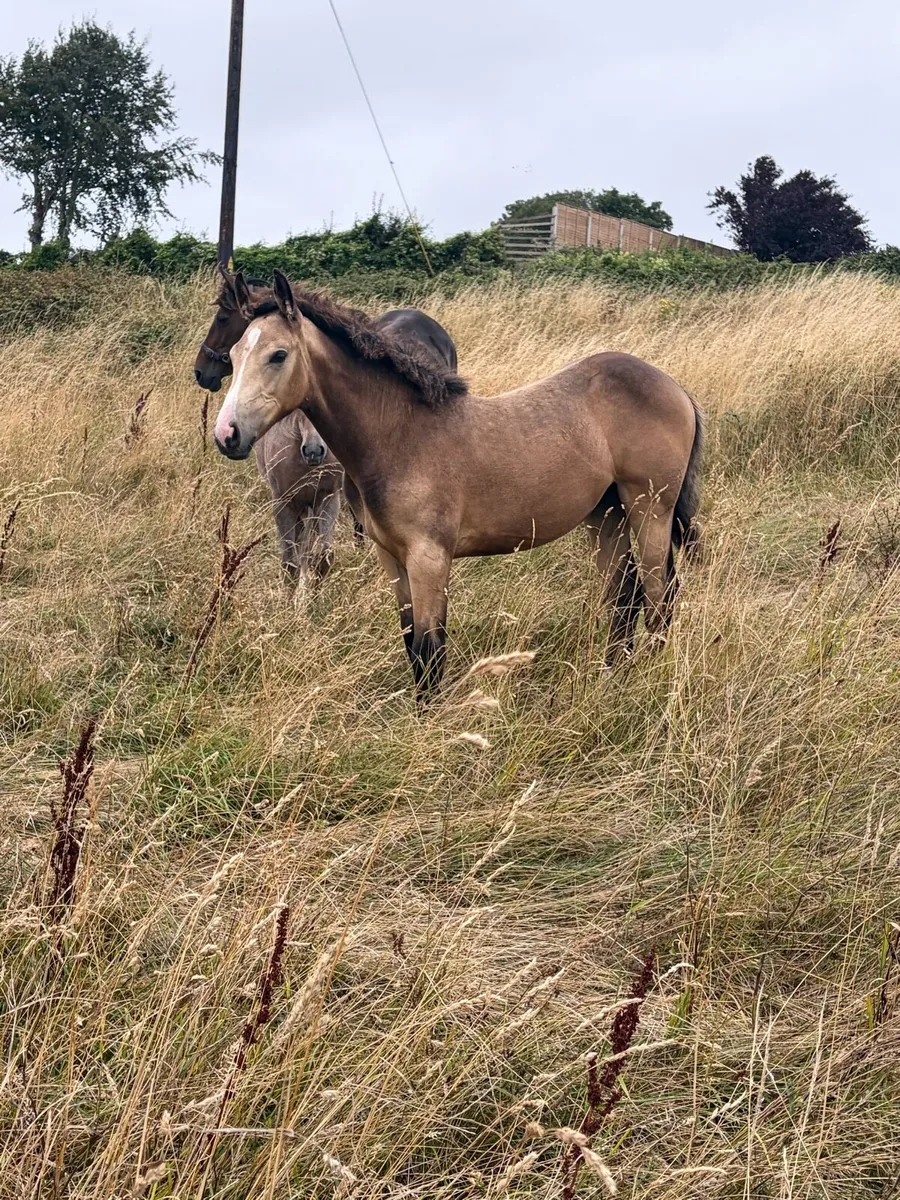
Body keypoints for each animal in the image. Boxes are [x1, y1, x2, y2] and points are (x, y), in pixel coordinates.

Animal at [194, 269, 458, 595]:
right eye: (234, 352)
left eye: (221, 318)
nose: (200, 372)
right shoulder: (285, 499)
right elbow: (293, 562)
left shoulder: (328, 496)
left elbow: (321, 558)